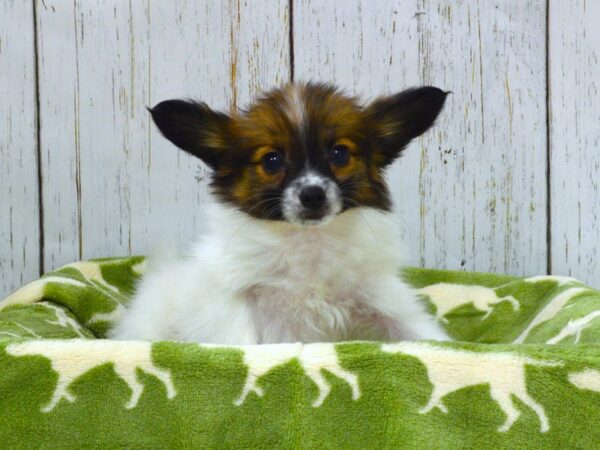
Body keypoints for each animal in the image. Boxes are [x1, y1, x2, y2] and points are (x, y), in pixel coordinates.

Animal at [109, 82, 450, 344]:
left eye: (339, 154)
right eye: (272, 161)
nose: (312, 194)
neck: (307, 242)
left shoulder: (382, 297)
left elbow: (422, 334)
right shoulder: (233, 299)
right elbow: (241, 343)